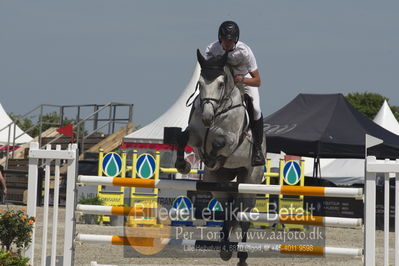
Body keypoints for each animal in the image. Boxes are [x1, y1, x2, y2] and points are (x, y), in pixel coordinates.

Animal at [174, 49, 266, 264]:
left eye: (221, 83)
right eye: (199, 83)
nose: (207, 117)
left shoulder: (231, 140)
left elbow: (218, 143)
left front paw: (211, 158)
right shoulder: (196, 135)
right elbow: (182, 137)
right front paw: (183, 165)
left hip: (250, 183)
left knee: (244, 218)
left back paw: (242, 256)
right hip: (217, 185)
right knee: (228, 211)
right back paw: (224, 248)